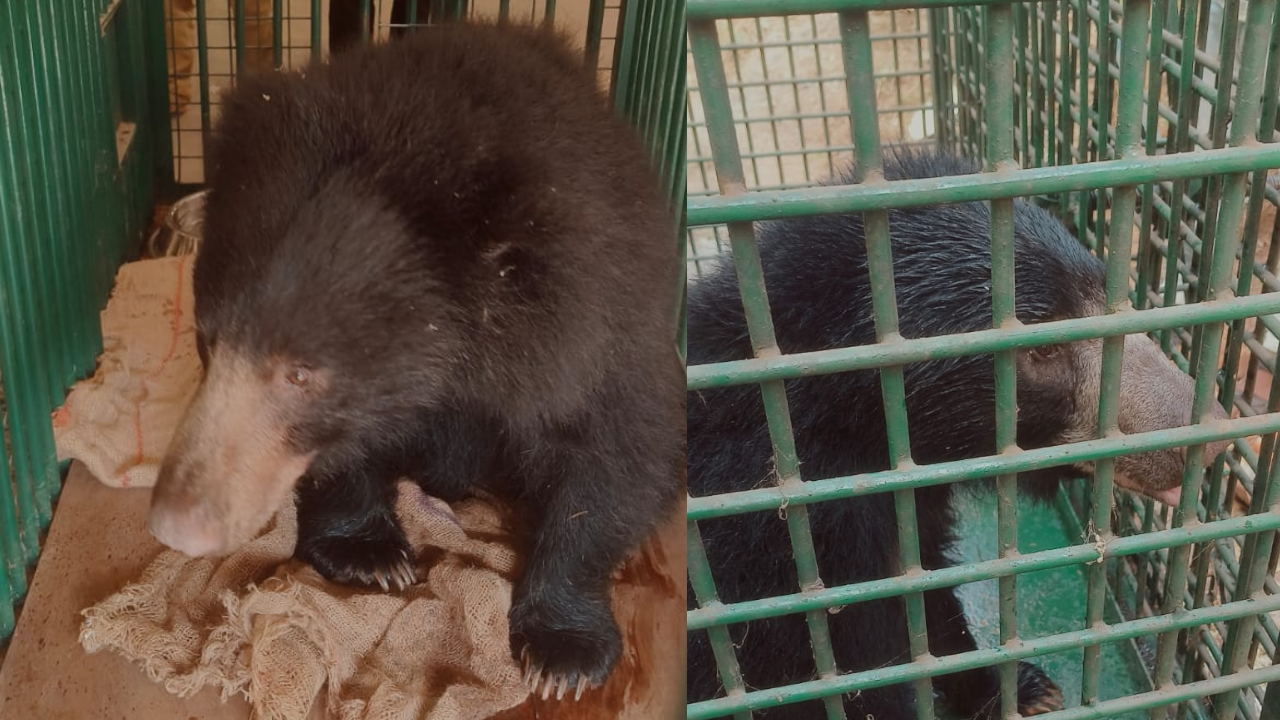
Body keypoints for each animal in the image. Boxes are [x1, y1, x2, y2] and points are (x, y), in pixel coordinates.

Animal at [145, 21, 685, 699]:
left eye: (301, 374)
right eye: (207, 341)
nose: (177, 524)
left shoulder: (602, 325)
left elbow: (615, 463)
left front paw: (563, 655)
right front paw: (371, 558)